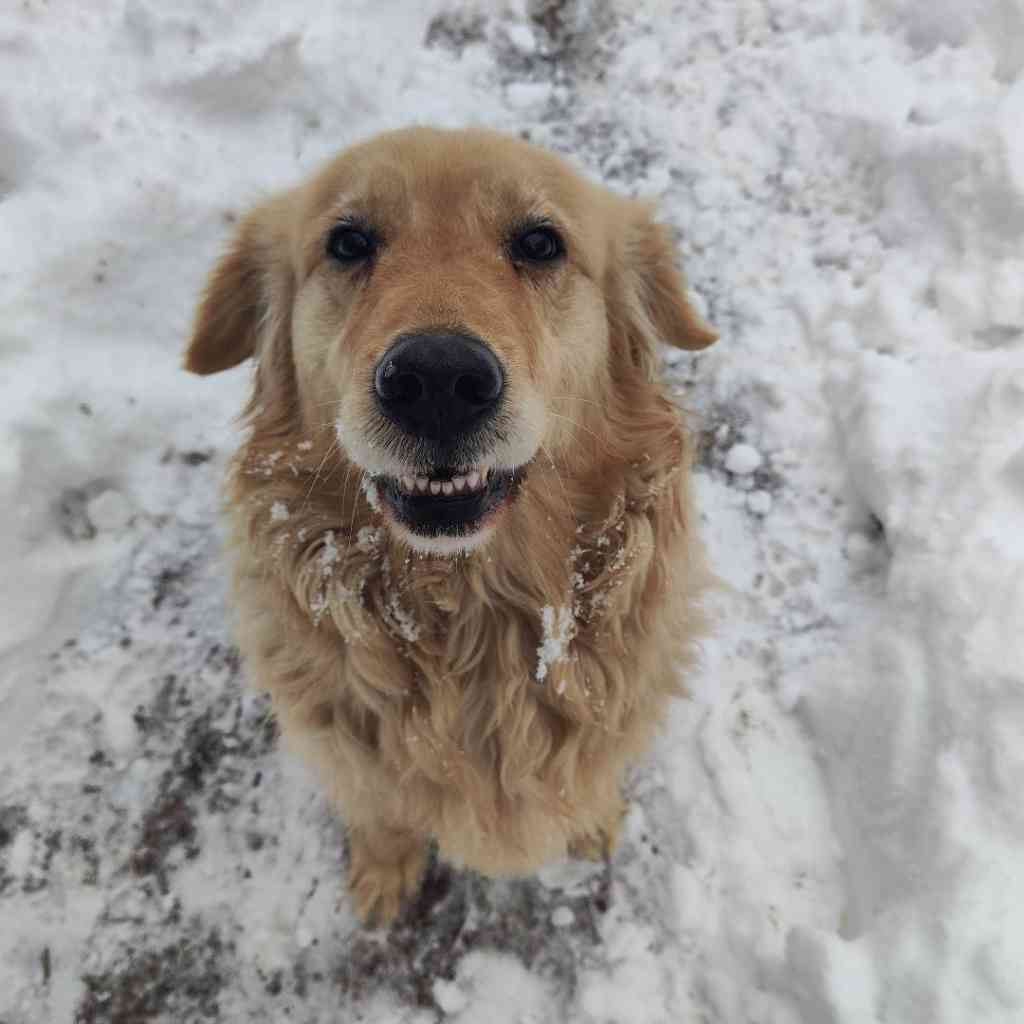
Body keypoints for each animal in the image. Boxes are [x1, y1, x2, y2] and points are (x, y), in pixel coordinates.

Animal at [186, 123, 712, 925]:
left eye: (540, 242)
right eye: (348, 242)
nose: (436, 380)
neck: (469, 616)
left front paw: (592, 821)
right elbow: (382, 811)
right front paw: (384, 870)